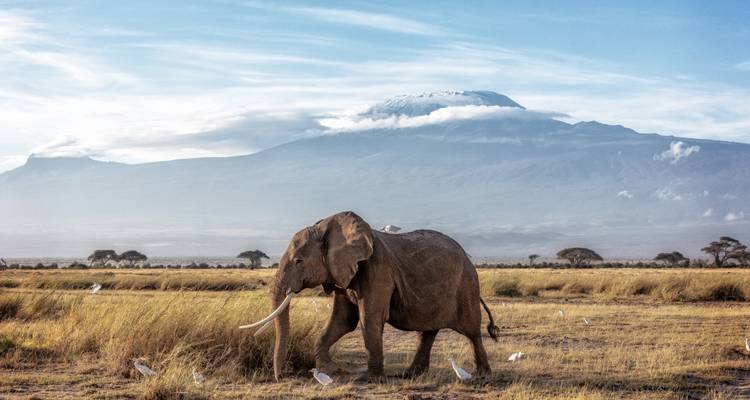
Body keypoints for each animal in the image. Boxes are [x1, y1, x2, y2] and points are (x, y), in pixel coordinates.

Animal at [245, 211, 500, 381]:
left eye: (299, 261)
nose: (281, 376)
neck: (330, 226)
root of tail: (467, 256)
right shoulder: (343, 272)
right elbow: (343, 321)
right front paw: (331, 370)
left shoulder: (377, 268)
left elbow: (369, 319)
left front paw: (367, 378)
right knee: (428, 332)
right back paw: (410, 375)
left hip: (466, 284)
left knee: (471, 330)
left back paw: (482, 375)